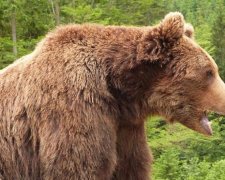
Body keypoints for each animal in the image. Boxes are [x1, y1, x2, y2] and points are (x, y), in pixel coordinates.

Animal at [0, 11, 225, 179]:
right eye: (209, 72)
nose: (224, 101)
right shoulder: (75, 108)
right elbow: (79, 165)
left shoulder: (125, 127)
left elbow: (130, 165)